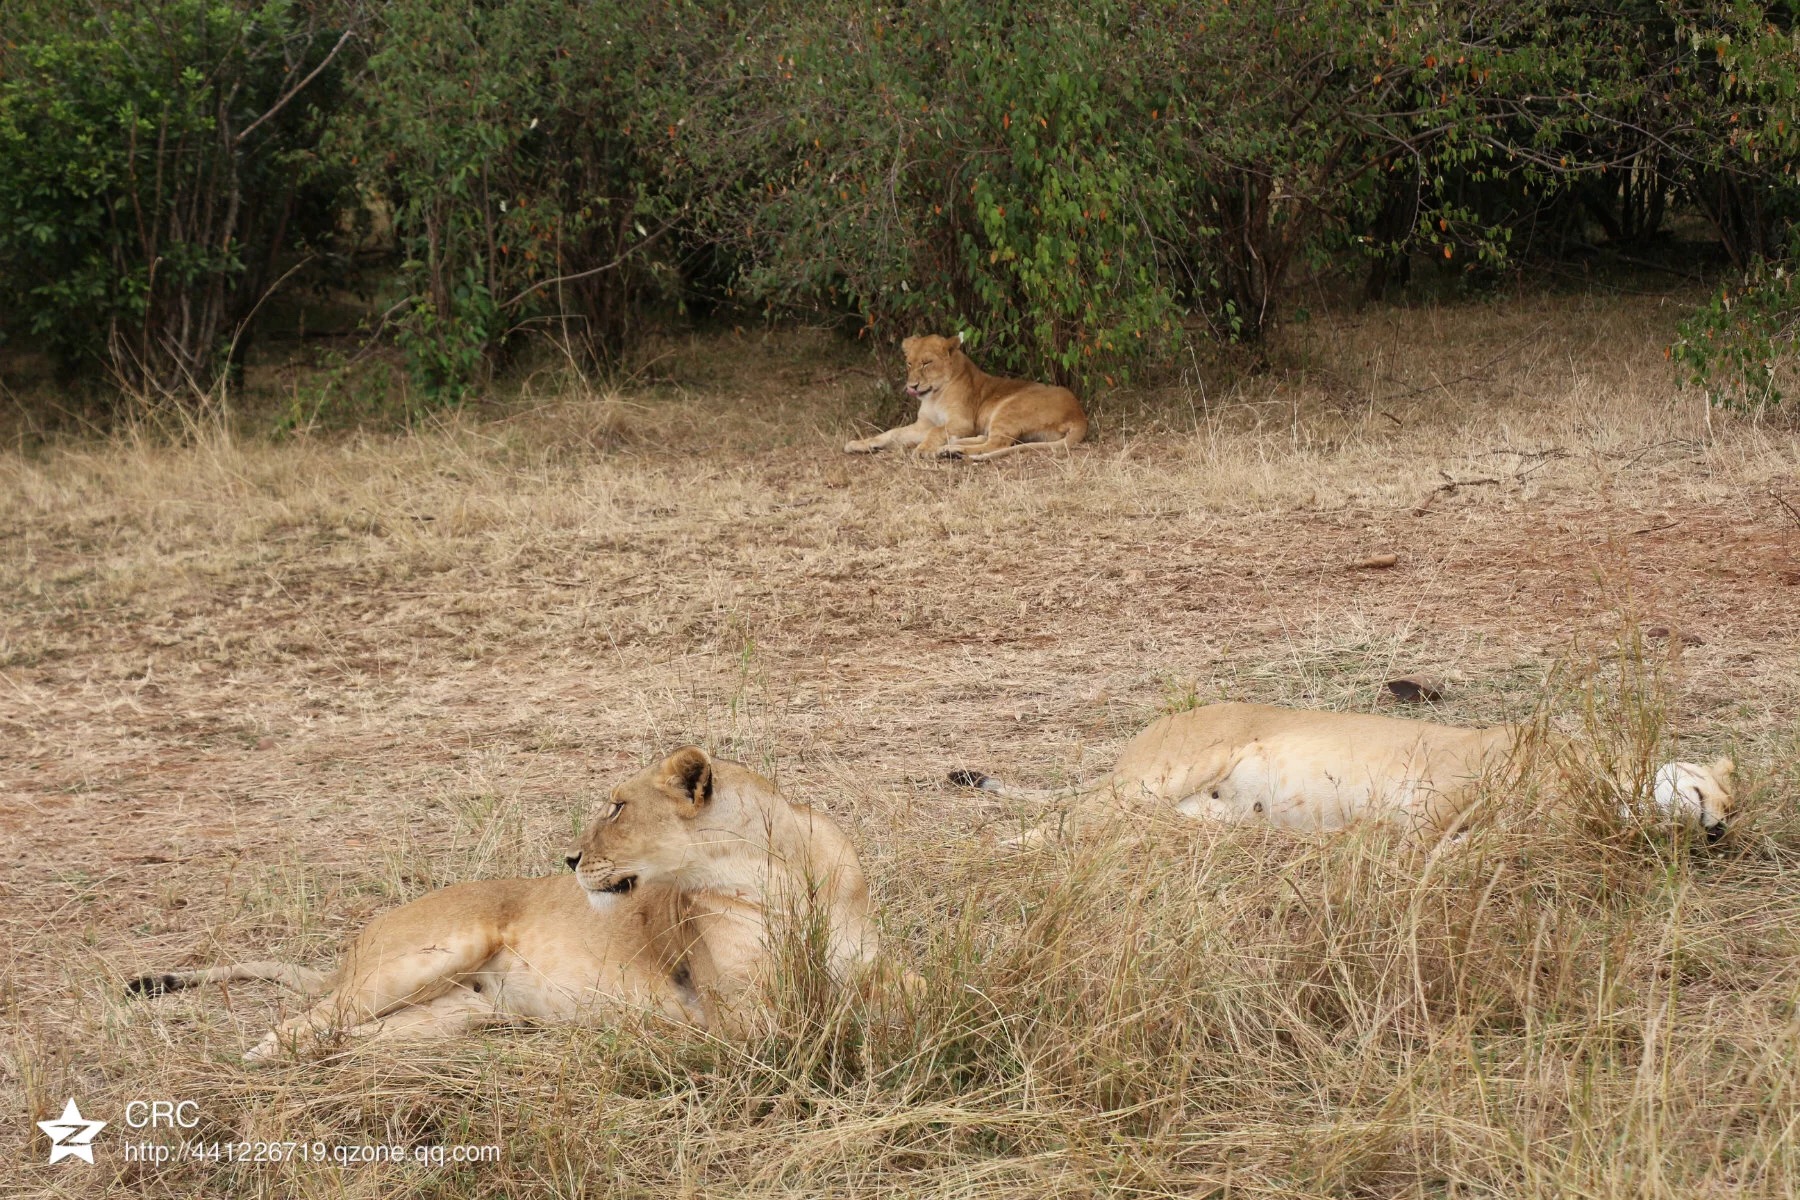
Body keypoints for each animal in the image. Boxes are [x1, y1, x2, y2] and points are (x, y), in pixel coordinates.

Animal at [130, 744, 882, 1065]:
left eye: (617, 806)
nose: (570, 861)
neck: (775, 871)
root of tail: (351, 949)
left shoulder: (868, 969)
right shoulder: (737, 1013)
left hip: (461, 1013)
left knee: (345, 1033)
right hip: (430, 954)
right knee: (303, 1020)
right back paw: (262, 1053)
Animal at [842, 331, 1080, 464]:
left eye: (926, 363)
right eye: (909, 363)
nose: (912, 386)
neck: (934, 395)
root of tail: (1079, 415)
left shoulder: (963, 422)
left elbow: (936, 431)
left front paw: (923, 450)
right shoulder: (923, 424)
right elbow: (891, 433)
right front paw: (860, 444)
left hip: (1009, 407)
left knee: (997, 443)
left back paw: (951, 450)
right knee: (990, 439)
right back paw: (951, 446)